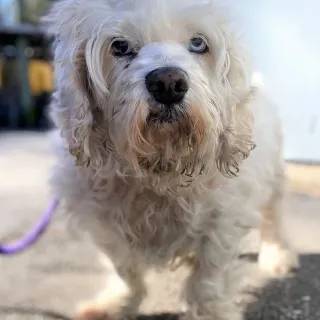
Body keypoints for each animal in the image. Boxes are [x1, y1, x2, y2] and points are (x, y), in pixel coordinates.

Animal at [45, 0, 300, 320]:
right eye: (119, 46)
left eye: (198, 43)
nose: (168, 83)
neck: (162, 166)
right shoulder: (104, 223)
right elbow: (125, 270)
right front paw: (115, 302)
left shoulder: (222, 220)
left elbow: (208, 280)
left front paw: (209, 311)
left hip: (274, 179)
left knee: (273, 218)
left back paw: (277, 255)